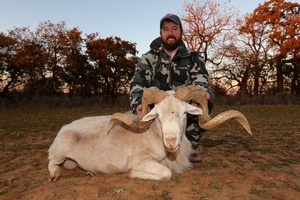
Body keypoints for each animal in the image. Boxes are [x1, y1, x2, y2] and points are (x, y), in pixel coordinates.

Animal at [47, 85, 253, 182]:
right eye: (158, 115)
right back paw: (55, 175)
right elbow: (166, 174)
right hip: (59, 153)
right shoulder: (144, 161)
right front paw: (131, 173)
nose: (171, 141)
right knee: (52, 163)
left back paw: (89, 172)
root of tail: (64, 129)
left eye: (184, 113)